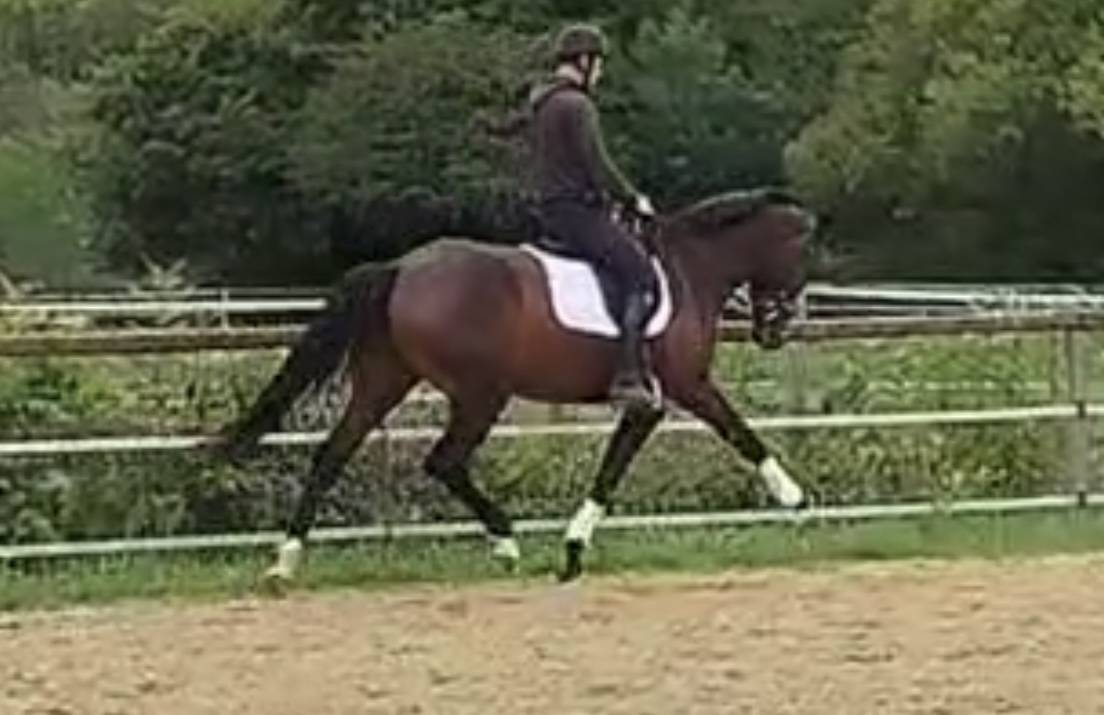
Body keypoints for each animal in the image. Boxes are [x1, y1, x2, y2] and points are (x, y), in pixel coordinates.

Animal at [212, 186, 817, 584]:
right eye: (800, 253)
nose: (776, 328)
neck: (688, 271)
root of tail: (401, 267)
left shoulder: (651, 403)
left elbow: (613, 467)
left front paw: (573, 549)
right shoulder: (683, 387)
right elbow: (736, 431)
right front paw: (796, 498)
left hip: (386, 381)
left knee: (333, 454)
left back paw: (285, 561)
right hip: (481, 393)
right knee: (443, 461)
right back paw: (505, 544)